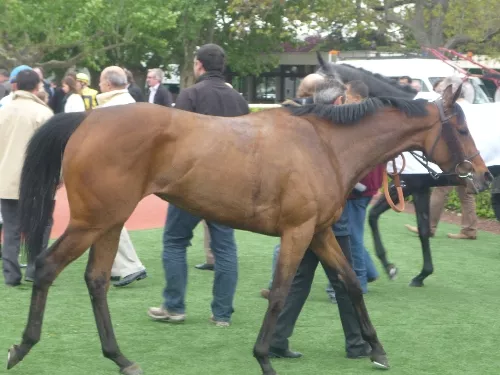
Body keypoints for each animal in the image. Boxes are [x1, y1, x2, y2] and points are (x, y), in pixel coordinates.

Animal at [7, 54, 492, 374]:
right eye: (461, 127)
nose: (484, 176)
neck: (325, 144)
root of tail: (87, 121)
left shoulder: (319, 232)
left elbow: (350, 282)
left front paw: (375, 348)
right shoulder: (297, 232)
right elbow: (280, 292)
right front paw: (264, 357)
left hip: (110, 220)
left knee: (96, 280)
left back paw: (120, 357)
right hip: (92, 220)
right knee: (47, 266)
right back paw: (23, 346)